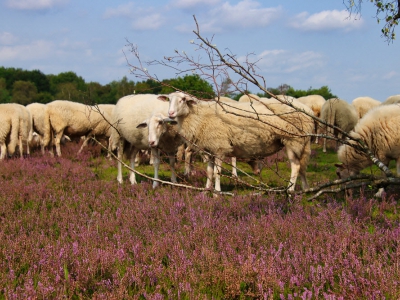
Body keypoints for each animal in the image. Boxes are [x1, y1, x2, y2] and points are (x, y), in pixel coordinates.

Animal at [158, 90, 314, 192]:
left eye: (183, 100)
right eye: (169, 100)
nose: (170, 113)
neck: (199, 115)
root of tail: (308, 111)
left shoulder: (219, 146)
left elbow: (217, 172)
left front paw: (217, 192)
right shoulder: (209, 148)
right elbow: (209, 172)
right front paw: (206, 190)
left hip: (293, 140)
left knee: (296, 166)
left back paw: (290, 190)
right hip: (302, 142)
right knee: (302, 166)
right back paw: (305, 189)